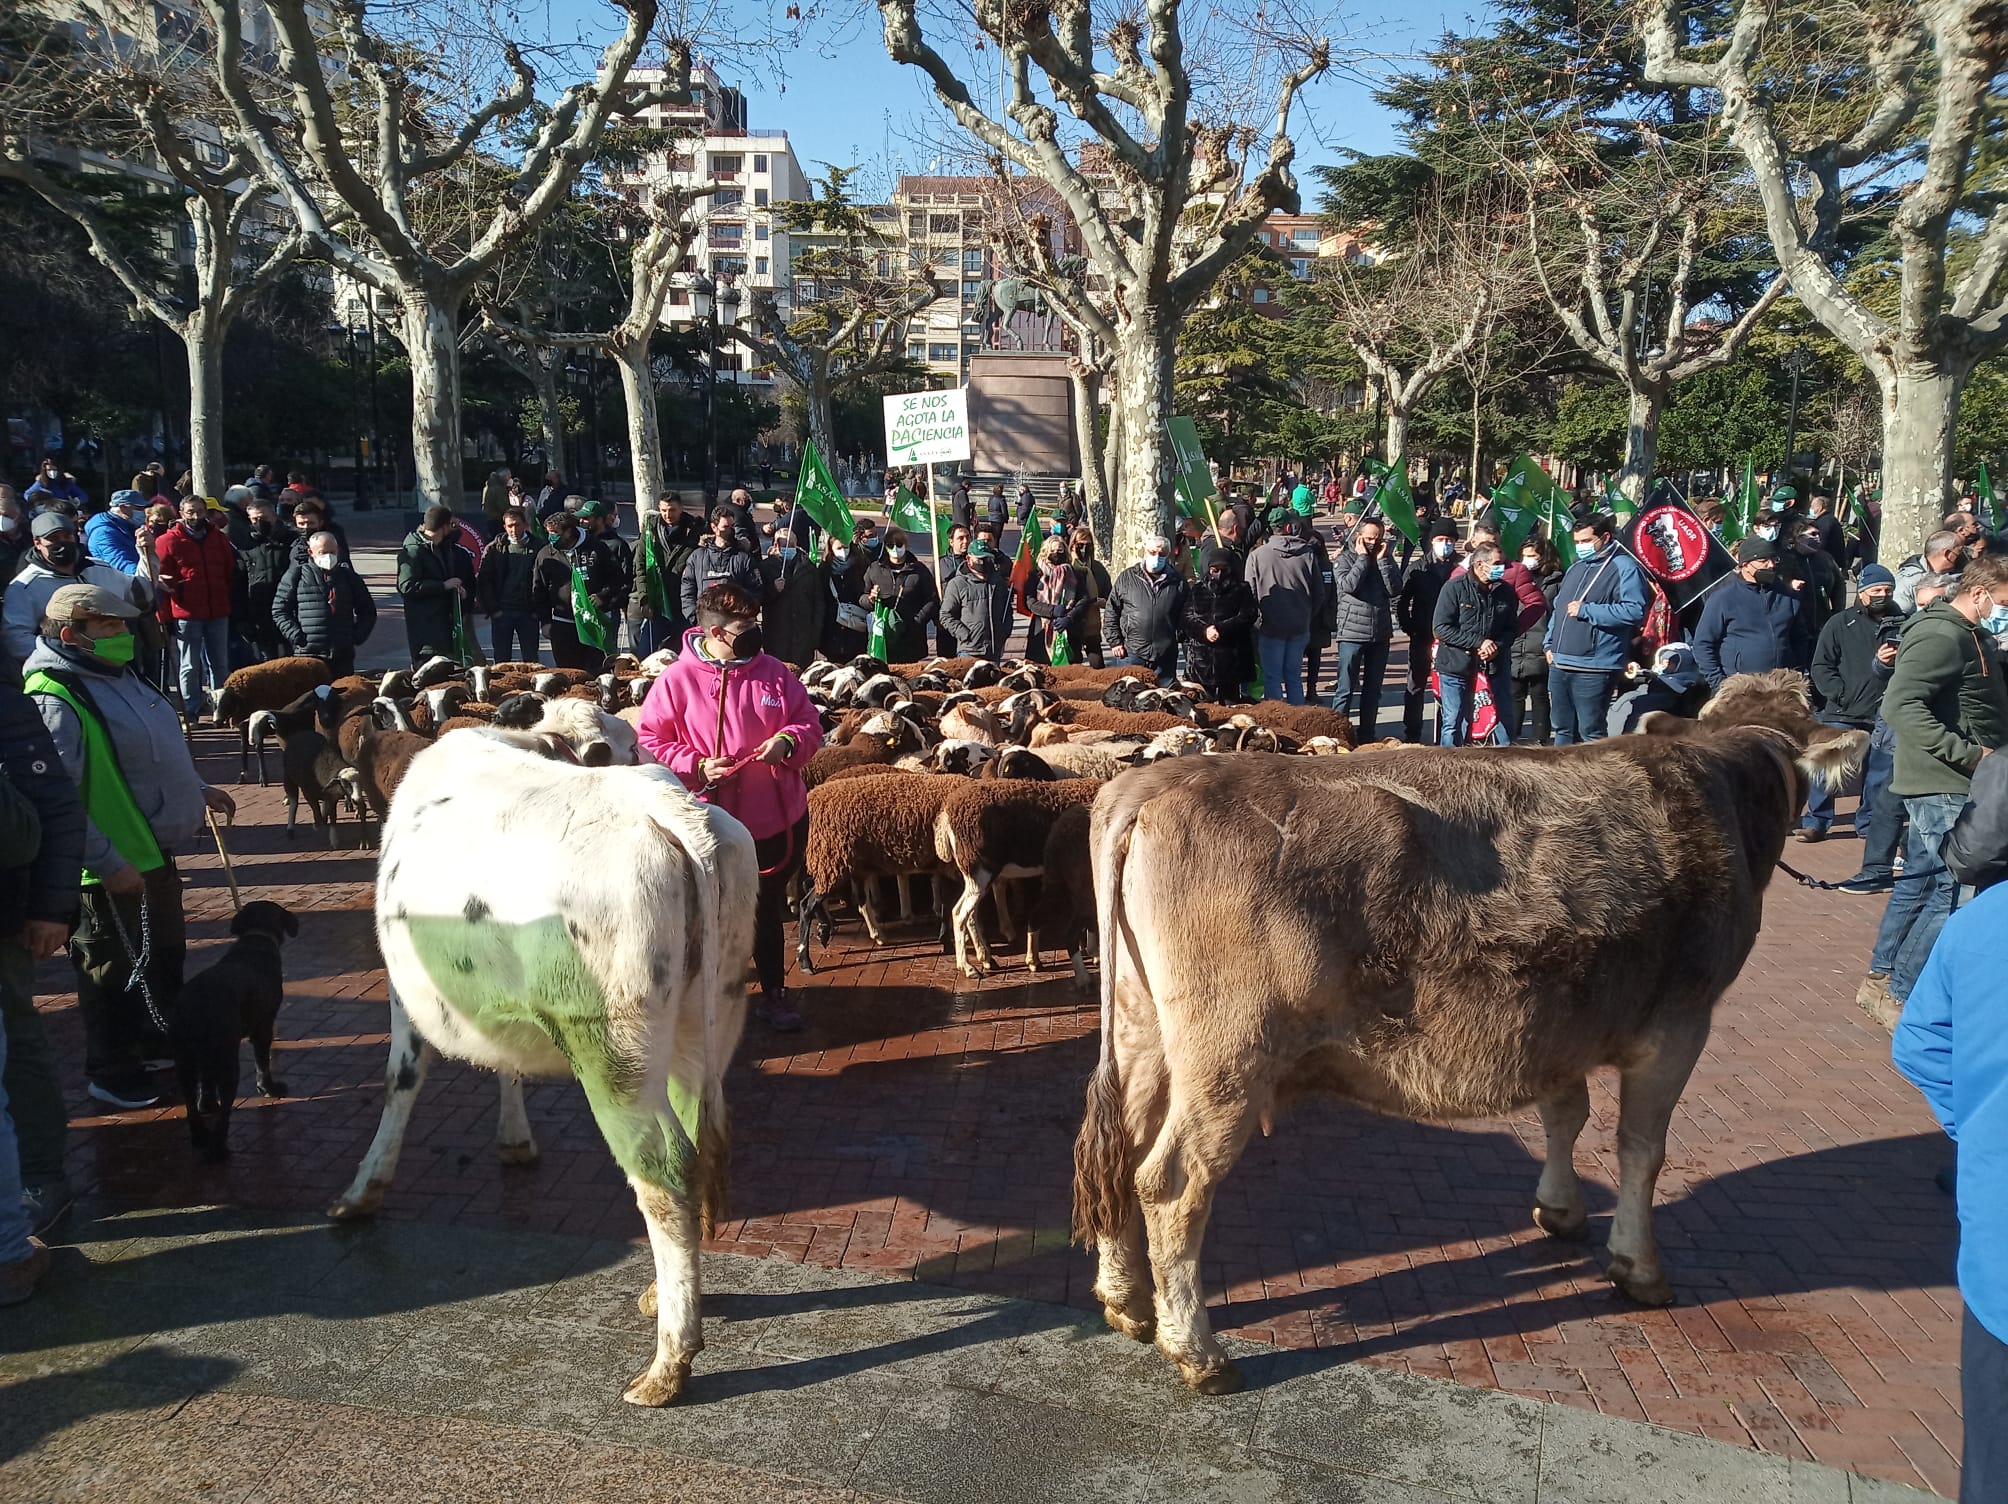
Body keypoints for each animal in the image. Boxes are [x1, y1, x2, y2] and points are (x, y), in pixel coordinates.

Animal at [172, 899, 299, 1156]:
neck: (257, 936)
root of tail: (196, 1006)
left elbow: (206, 1084)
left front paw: (207, 1104)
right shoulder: (263, 1028)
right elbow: (263, 1062)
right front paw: (270, 1088)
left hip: (186, 1061)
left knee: (190, 1100)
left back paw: (200, 1136)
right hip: (227, 1060)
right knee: (225, 1113)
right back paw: (218, 1149)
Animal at [215, 658, 333, 787]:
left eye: (227, 701)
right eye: (214, 702)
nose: (216, 722)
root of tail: (319, 661)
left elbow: (258, 749)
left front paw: (263, 779)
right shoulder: (245, 725)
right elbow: (243, 748)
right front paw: (243, 776)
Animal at [333, 722, 755, 1405]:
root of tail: (671, 808)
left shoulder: (403, 989)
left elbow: (401, 1079)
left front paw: (362, 1190)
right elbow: (507, 1066)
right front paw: (514, 1139)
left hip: (613, 1050)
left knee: (662, 1173)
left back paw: (668, 1364)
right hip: (707, 1016)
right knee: (699, 1137)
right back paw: (665, 1297)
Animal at [1076, 674, 1855, 1389]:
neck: (1721, 777)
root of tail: (1161, 781)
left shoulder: (1560, 1021)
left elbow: (1567, 1112)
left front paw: (1560, 1208)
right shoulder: (1680, 1022)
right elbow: (1642, 1149)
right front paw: (1638, 1267)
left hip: (1146, 1035)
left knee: (1116, 1155)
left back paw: (1127, 1301)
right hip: (1230, 1057)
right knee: (1170, 1181)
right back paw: (1197, 1351)